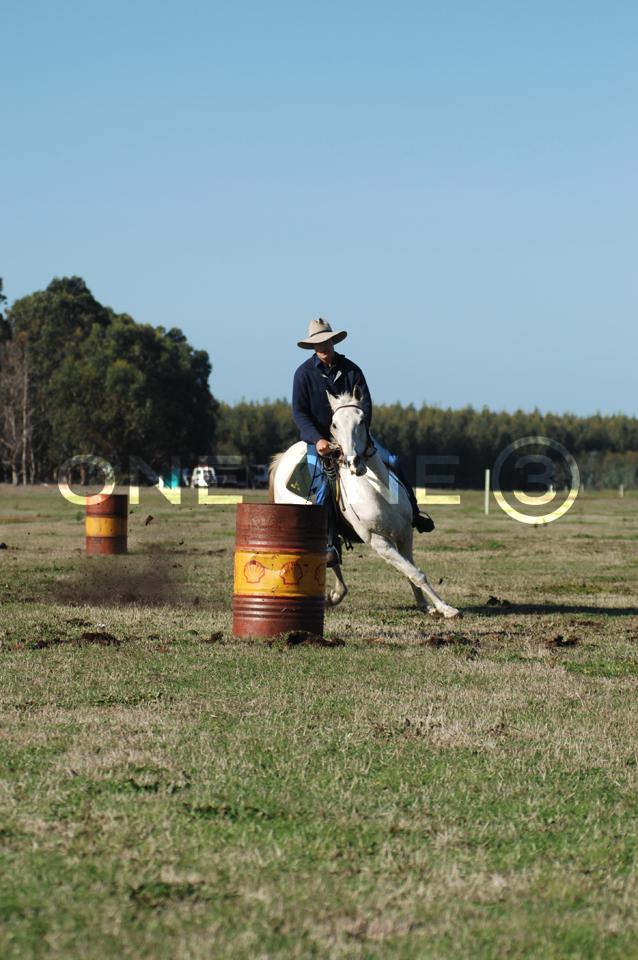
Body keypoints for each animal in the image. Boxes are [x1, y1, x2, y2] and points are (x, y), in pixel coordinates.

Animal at [269, 387, 460, 618]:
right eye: (334, 424)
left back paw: (335, 595)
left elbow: (411, 570)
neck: (377, 488)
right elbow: (415, 572)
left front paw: (426, 605)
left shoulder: (405, 533)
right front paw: (446, 608)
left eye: (361, 420)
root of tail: (284, 456)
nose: (354, 463)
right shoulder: (378, 541)